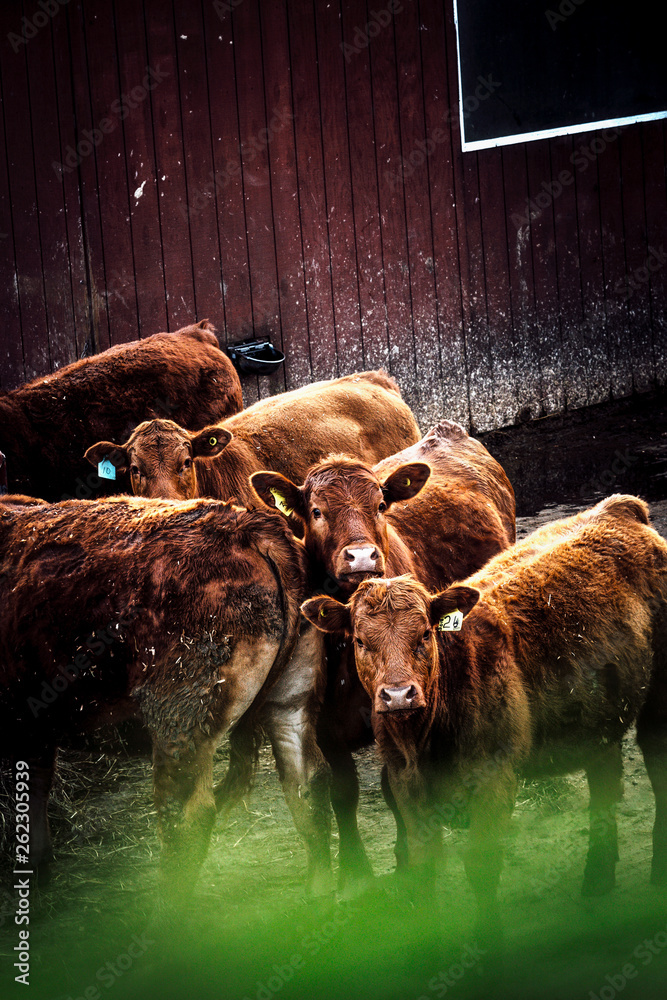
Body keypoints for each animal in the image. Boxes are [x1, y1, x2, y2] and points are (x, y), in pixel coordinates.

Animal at [0, 495, 333, 905]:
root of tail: (247, 526)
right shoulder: (33, 728)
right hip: (290, 701)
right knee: (307, 783)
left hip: (181, 721)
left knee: (186, 818)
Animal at [251, 421, 516, 892]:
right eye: (315, 511)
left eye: (379, 505)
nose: (361, 556)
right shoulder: (323, 724)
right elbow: (344, 792)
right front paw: (356, 869)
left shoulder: (395, 712)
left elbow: (394, 789)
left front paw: (406, 859)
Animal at [302, 495, 667, 937]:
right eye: (358, 640)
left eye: (425, 634)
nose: (398, 695)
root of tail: (619, 508)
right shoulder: (408, 786)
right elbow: (424, 866)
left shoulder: (495, 781)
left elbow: (481, 865)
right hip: (599, 717)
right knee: (604, 786)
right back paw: (597, 880)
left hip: (660, 701)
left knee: (658, 764)